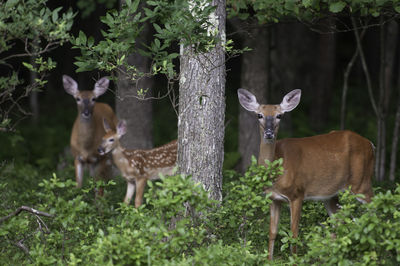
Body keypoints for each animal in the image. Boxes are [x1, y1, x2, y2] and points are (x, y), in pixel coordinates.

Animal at [238, 88, 376, 258]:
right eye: (259, 115)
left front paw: (294, 259)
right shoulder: (274, 198)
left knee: (375, 209)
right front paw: (269, 260)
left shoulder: (297, 193)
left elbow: (294, 234)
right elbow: (272, 232)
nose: (269, 134)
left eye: (279, 115)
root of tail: (371, 144)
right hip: (331, 195)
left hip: (361, 182)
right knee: (339, 223)